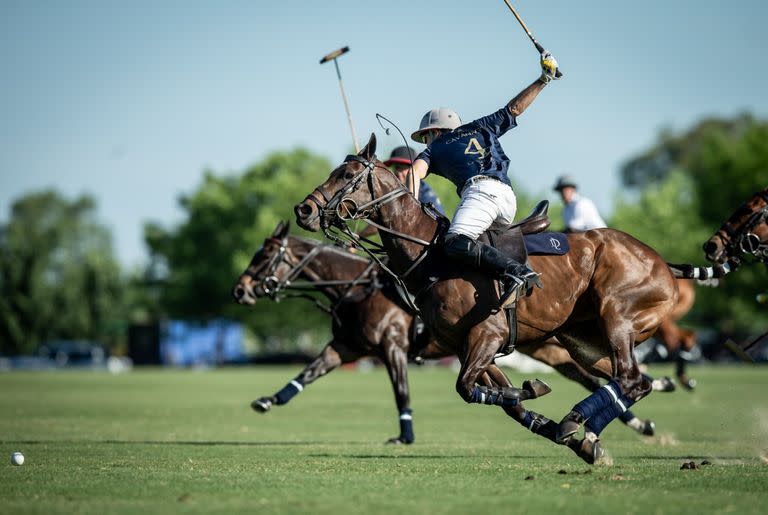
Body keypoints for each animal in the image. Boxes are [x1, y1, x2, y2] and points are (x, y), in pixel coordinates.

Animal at [296, 135, 684, 466]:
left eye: (347, 174)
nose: (303, 210)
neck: (432, 255)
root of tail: (664, 263)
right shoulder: (466, 345)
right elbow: (501, 397)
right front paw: (545, 414)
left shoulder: (485, 335)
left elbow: (465, 388)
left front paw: (538, 399)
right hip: (583, 342)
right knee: (631, 380)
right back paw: (593, 426)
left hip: (617, 316)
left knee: (629, 379)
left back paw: (575, 419)